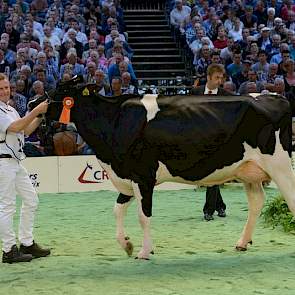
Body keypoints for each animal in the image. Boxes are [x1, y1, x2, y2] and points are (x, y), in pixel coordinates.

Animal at [30, 79, 295, 262]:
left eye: (60, 91)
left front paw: (145, 251)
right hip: (249, 171)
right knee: (257, 202)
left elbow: (143, 215)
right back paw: (242, 242)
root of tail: (276, 97)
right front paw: (126, 244)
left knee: (290, 199)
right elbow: (117, 210)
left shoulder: (143, 176)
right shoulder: (127, 176)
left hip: (280, 164)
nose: (33, 103)